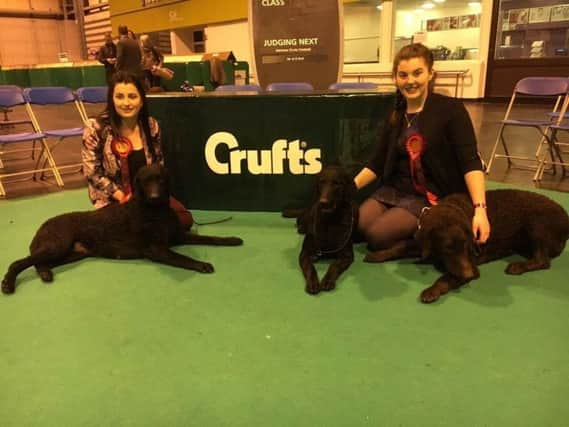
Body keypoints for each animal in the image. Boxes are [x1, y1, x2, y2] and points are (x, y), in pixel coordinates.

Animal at [1, 164, 242, 294]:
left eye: (161, 180)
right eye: (145, 181)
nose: (154, 196)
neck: (155, 211)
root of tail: (43, 224)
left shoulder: (178, 236)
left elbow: (211, 238)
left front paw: (232, 239)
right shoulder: (157, 249)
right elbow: (183, 258)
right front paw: (202, 265)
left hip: (71, 253)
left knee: (38, 263)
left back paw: (45, 273)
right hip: (57, 245)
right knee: (18, 262)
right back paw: (8, 284)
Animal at [284, 166, 356, 296]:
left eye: (337, 184)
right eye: (321, 182)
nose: (323, 202)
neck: (329, 220)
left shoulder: (347, 255)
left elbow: (334, 265)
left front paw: (327, 281)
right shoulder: (305, 253)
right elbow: (310, 268)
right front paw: (313, 283)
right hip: (307, 214)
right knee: (300, 220)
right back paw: (301, 228)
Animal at [364, 190, 568, 304]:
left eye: (467, 246)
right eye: (447, 248)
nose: (470, 275)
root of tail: (565, 216)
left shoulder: (470, 264)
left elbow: (447, 277)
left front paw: (431, 291)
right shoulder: (422, 244)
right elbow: (399, 247)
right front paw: (377, 255)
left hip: (537, 224)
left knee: (543, 260)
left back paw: (517, 266)